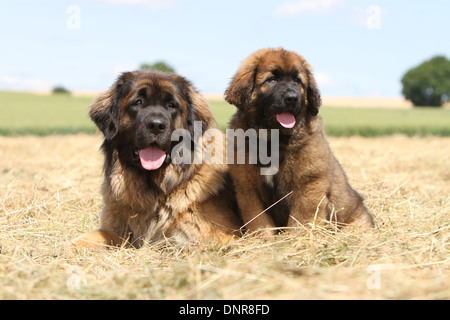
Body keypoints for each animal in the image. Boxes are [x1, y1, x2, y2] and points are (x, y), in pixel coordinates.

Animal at [67, 70, 243, 250]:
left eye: (171, 105)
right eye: (138, 102)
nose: (156, 125)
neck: (153, 188)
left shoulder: (222, 237)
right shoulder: (113, 231)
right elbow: (79, 242)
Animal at [224, 48, 372, 238]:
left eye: (297, 80)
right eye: (272, 79)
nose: (292, 98)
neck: (273, 138)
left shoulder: (308, 183)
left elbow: (301, 218)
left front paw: (295, 239)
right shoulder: (247, 188)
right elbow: (258, 219)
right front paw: (264, 240)